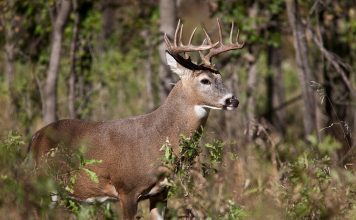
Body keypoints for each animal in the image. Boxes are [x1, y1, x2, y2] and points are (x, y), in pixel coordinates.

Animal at [29, 18, 245, 219]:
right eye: (205, 80)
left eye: (220, 77)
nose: (233, 100)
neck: (157, 137)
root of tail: (36, 137)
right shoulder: (127, 189)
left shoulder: (161, 192)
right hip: (43, 182)